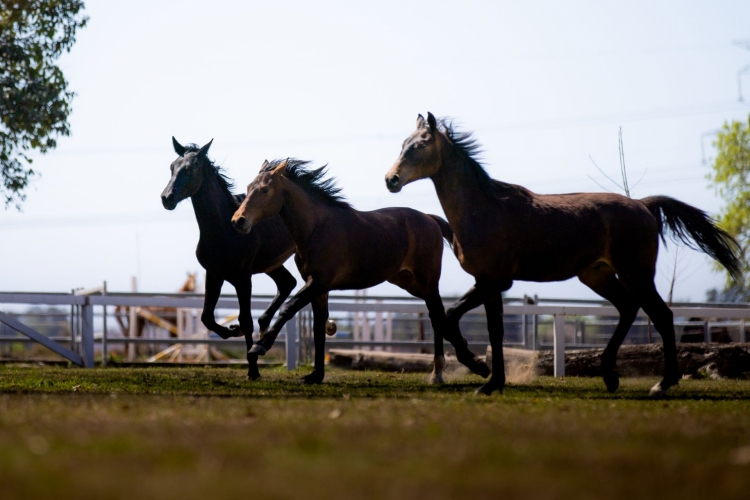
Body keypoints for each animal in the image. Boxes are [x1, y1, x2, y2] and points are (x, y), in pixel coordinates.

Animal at [160, 139, 298, 376]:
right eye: (172, 166)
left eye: (190, 169)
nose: (167, 198)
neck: (223, 229)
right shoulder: (214, 274)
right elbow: (207, 317)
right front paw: (232, 330)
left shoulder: (243, 278)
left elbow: (246, 319)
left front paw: (253, 370)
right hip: (272, 264)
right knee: (287, 283)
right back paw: (264, 326)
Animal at [229, 159, 490, 382]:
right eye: (249, 187)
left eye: (264, 190)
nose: (238, 221)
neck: (317, 227)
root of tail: (429, 218)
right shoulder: (319, 289)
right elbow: (318, 328)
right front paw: (316, 376)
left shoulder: (318, 281)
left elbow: (287, 309)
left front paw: (259, 346)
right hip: (408, 282)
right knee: (439, 316)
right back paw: (460, 366)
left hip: (427, 280)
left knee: (437, 316)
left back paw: (450, 370)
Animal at [384, 112, 744, 394]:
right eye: (403, 143)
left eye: (419, 145)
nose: (391, 179)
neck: (484, 210)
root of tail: (642, 205)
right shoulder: (489, 283)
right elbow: (488, 329)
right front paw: (491, 380)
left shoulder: (494, 281)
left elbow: (452, 318)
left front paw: (480, 371)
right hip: (597, 275)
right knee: (629, 308)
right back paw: (610, 376)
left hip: (636, 273)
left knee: (662, 315)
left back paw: (661, 384)